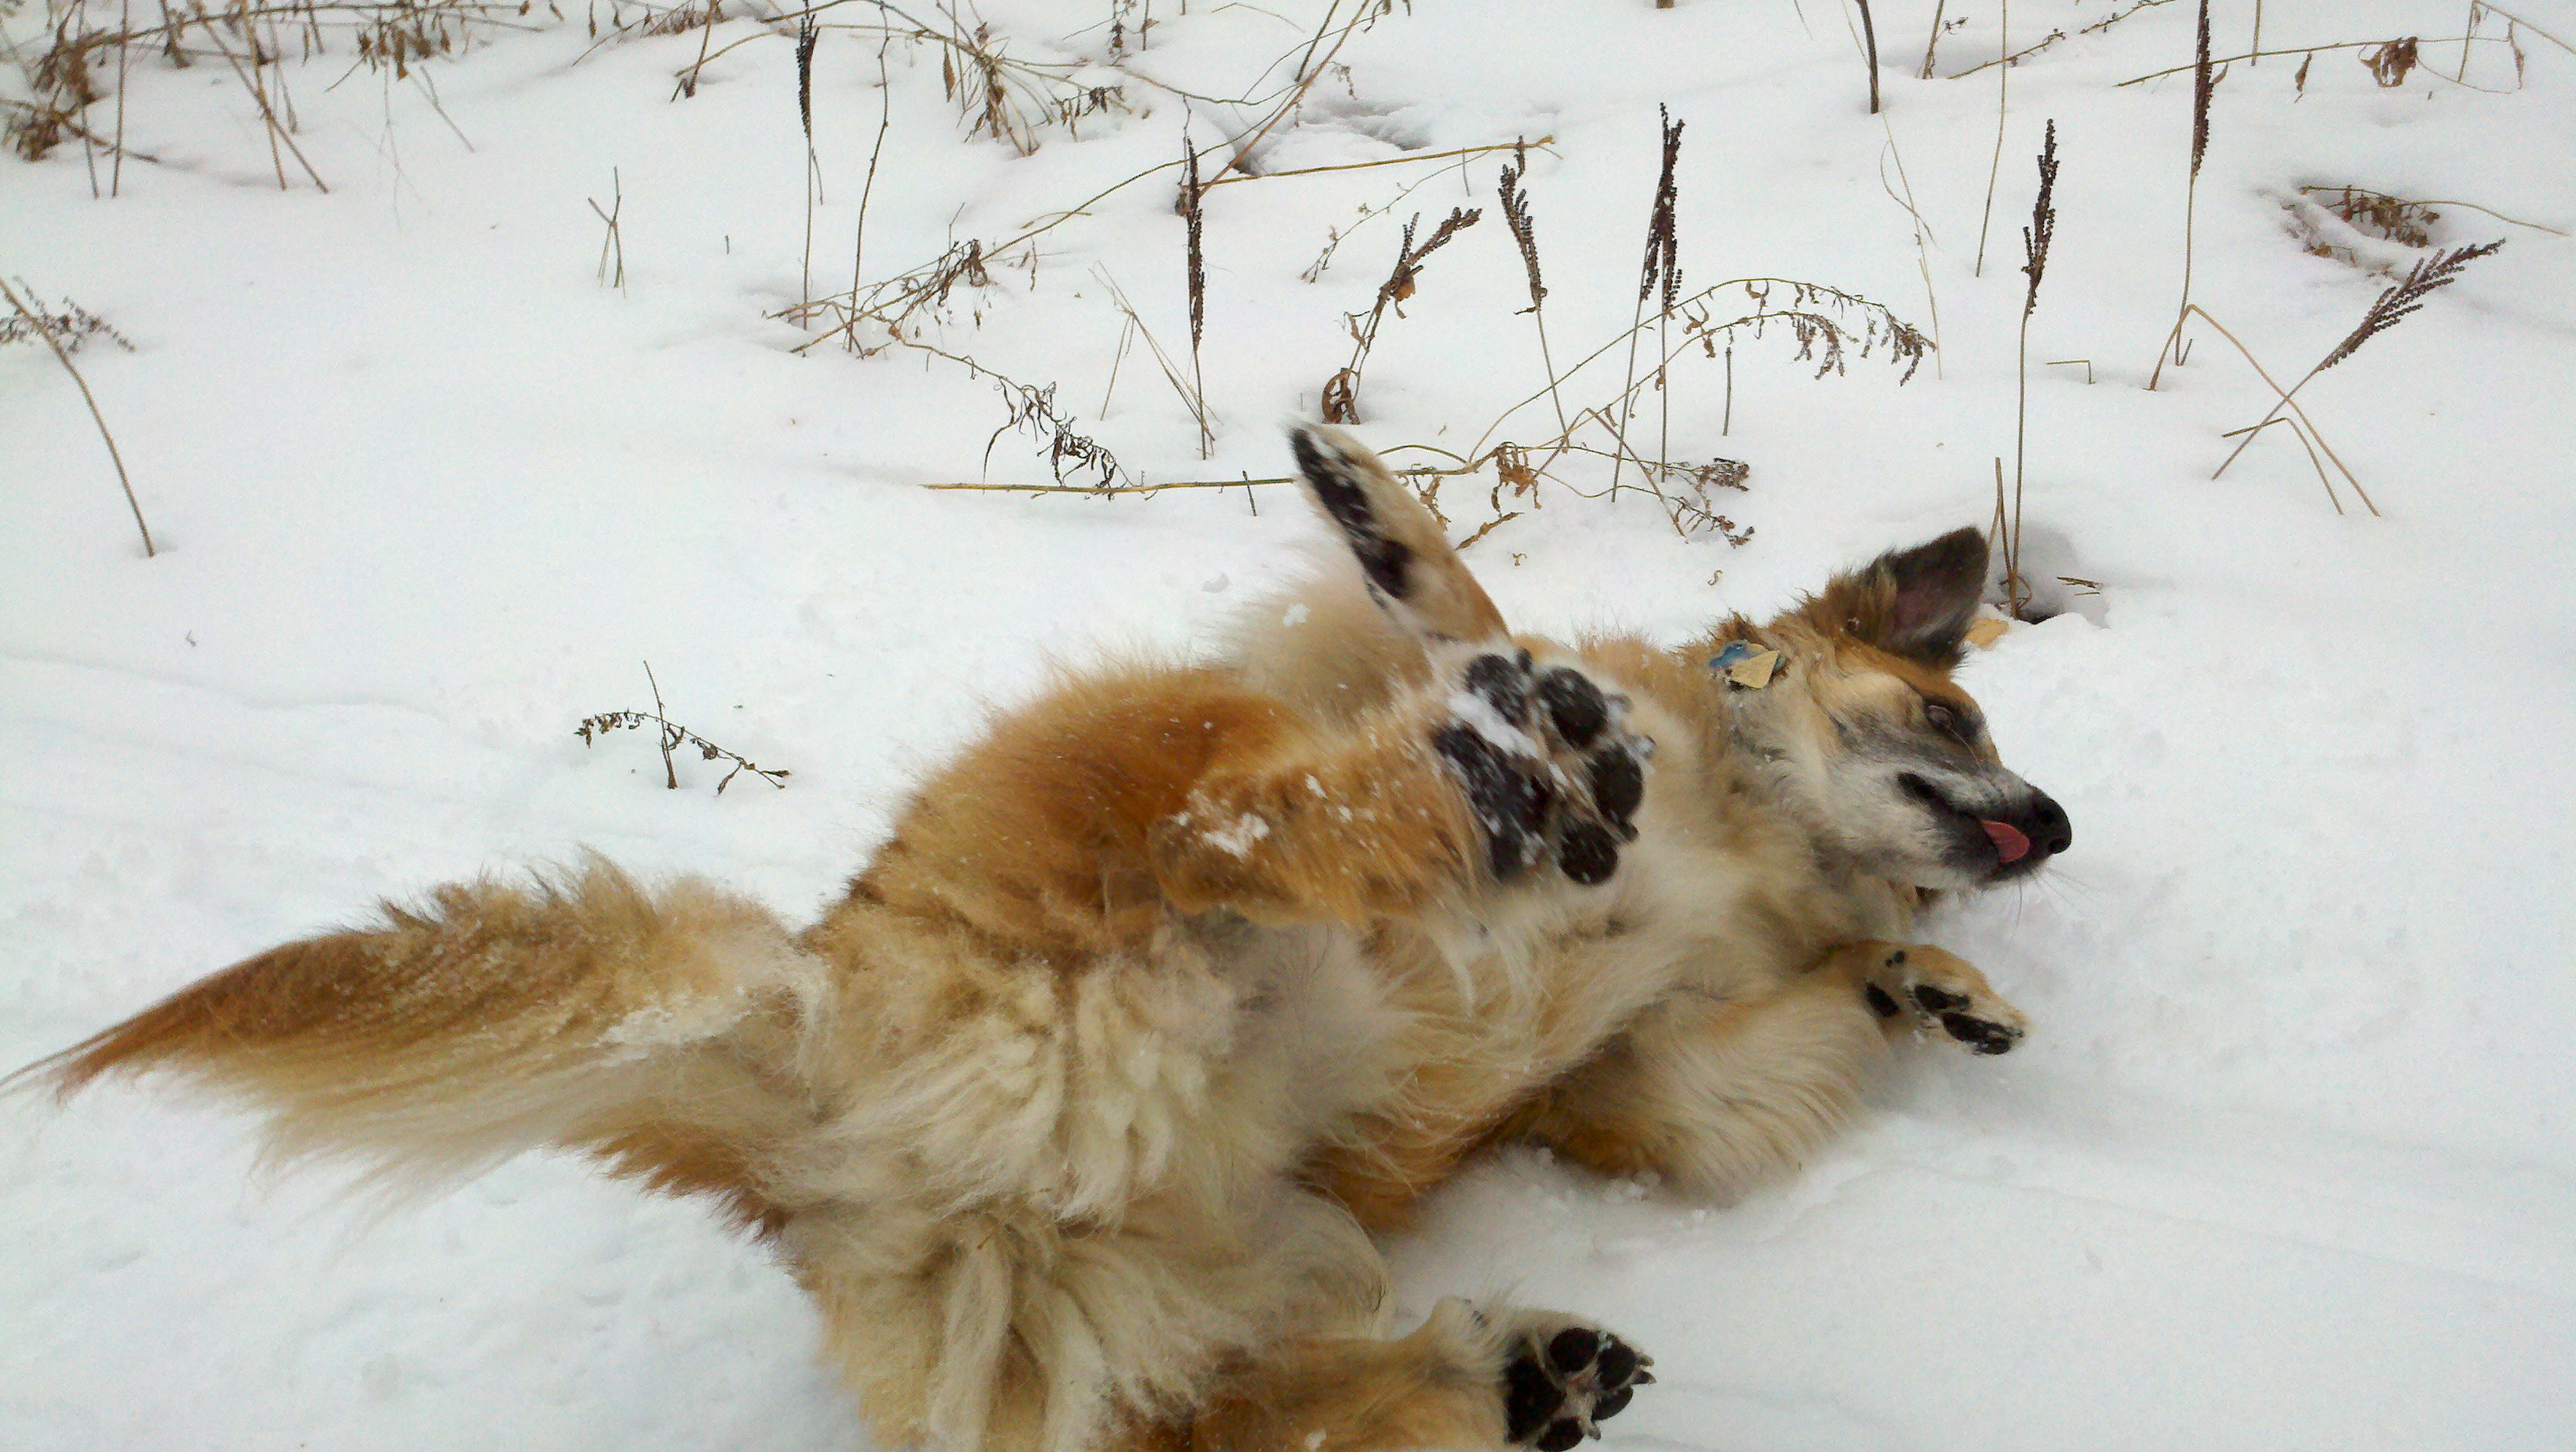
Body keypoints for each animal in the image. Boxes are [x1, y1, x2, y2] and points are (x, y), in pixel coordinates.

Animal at [20, 425, 2069, 1452]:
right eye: (1957, 717)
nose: (2049, 822)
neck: (1748, 833)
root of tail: (821, 1130)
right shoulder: (1370, 677)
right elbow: (1467, 604)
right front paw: (1388, 521)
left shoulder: (1650, 1085)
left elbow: (1764, 1040)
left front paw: (1933, 985)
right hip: (1139, 749)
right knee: (1223, 824)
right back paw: (1492, 794)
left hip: (1251, 1261)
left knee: (1214, 1427)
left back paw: (1504, 1379)